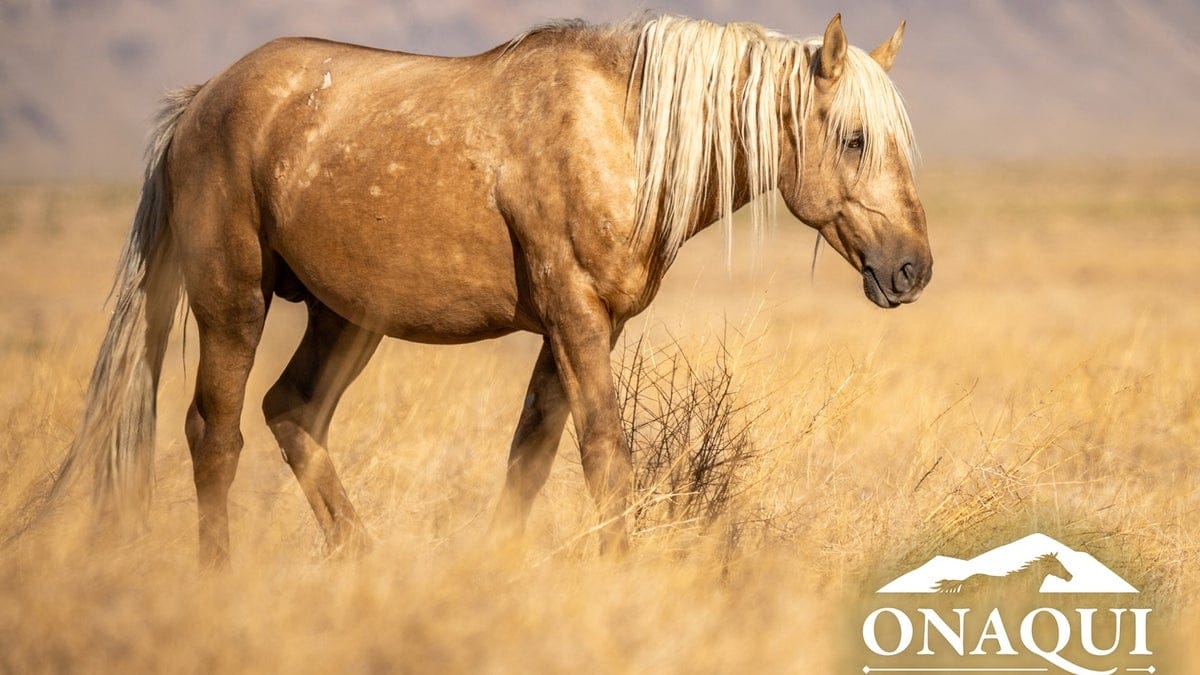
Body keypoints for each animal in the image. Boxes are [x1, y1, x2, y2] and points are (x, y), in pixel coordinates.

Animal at [56, 14, 931, 568]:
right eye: (854, 138)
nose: (912, 269)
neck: (621, 132)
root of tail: (200, 101)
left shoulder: (583, 327)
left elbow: (530, 455)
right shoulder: (576, 317)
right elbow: (604, 453)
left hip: (346, 318)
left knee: (292, 412)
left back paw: (362, 560)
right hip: (233, 302)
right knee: (216, 434)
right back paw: (221, 576)